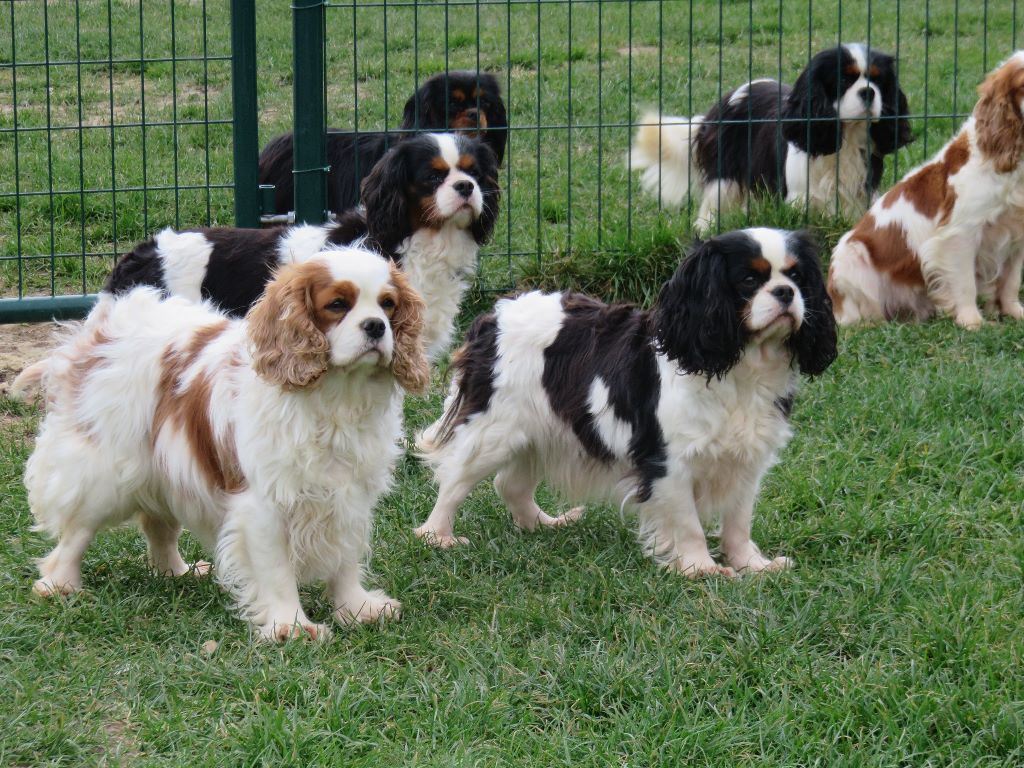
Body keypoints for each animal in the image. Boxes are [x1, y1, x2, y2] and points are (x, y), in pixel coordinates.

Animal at [19, 247, 428, 643]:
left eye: (388, 304)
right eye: (338, 304)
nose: (376, 326)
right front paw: (291, 626)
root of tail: (102, 326)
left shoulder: (349, 495)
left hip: (163, 468)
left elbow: (344, 558)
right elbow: (277, 571)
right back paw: (59, 583)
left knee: (158, 524)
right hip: (105, 473)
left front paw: (356, 608)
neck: (336, 397)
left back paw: (176, 572)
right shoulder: (264, 503)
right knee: (76, 532)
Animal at [411, 228, 835, 577]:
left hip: (541, 431)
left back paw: (543, 523)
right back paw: (437, 536)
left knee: (510, 483)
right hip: (493, 429)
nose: (786, 293)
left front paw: (752, 565)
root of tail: (493, 316)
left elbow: (738, 520)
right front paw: (701, 569)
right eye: (749, 280)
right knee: (454, 478)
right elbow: (688, 523)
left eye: (797, 277)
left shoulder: (747, 460)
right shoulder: (669, 461)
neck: (741, 363)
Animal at [630, 44, 913, 231]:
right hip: (725, 179)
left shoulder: (859, 196)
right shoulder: (800, 199)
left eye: (878, 81)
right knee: (712, 207)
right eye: (844, 79)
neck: (846, 138)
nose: (869, 92)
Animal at [827, 52, 1024, 329]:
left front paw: (1014, 313)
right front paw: (972, 322)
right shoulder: (960, 234)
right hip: (854, 257)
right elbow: (965, 284)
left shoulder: (1016, 235)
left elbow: (1010, 282)